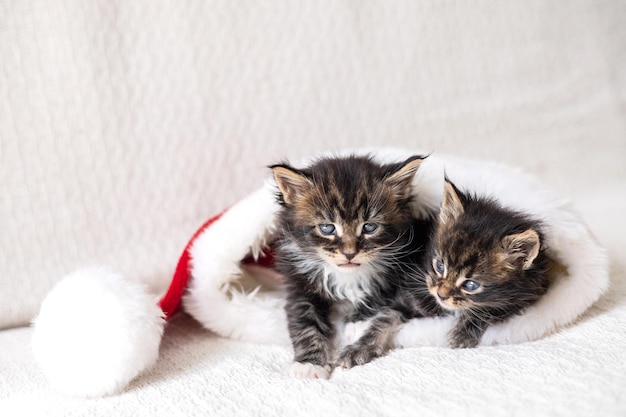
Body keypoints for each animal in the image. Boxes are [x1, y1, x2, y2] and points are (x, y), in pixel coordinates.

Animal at [270, 154, 438, 378]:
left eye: (369, 227)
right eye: (327, 228)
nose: (349, 253)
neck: (346, 276)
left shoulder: (400, 269)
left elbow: (380, 294)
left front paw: (358, 323)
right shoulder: (298, 284)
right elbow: (304, 323)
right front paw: (308, 365)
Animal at [424, 180, 552, 346]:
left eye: (471, 285)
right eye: (440, 266)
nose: (441, 295)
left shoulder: (529, 294)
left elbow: (488, 311)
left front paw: (460, 336)